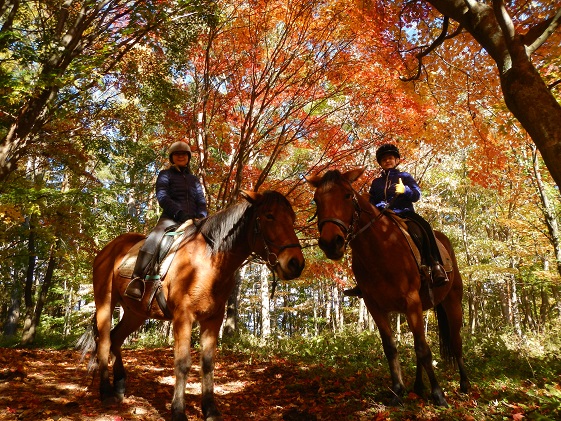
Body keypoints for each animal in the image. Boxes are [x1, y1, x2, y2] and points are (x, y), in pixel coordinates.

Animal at [85, 190, 302, 420]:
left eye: (292, 219)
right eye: (269, 216)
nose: (296, 263)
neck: (209, 261)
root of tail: (107, 250)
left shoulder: (213, 319)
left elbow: (207, 364)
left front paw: (210, 409)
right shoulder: (183, 317)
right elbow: (183, 364)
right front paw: (179, 411)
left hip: (136, 313)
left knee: (116, 339)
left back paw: (119, 387)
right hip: (105, 302)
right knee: (105, 341)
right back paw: (106, 392)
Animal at [306, 168, 468, 406]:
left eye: (347, 195)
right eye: (317, 200)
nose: (330, 243)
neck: (380, 247)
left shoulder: (411, 301)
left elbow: (423, 349)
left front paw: (438, 394)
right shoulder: (376, 306)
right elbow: (391, 347)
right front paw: (397, 390)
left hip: (452, 301)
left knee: (456, 341)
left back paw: (464, 384)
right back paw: (418, 387)